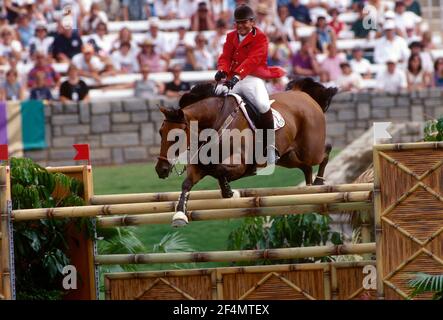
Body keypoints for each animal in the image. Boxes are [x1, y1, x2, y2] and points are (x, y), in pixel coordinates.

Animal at [155, 78, 336, 228]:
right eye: (160, 132)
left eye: (176, 136)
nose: (161, 169)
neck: (216, 123)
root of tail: (303, 95)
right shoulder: (199, 166)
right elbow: (187, 184)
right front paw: (179, 215)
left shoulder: (240, 163)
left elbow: (219, 169)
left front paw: (228, 191)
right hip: (288, 158)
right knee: (306, 167)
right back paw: (310, 187)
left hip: (310, 150)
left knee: (325, 152)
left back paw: (318, 183)